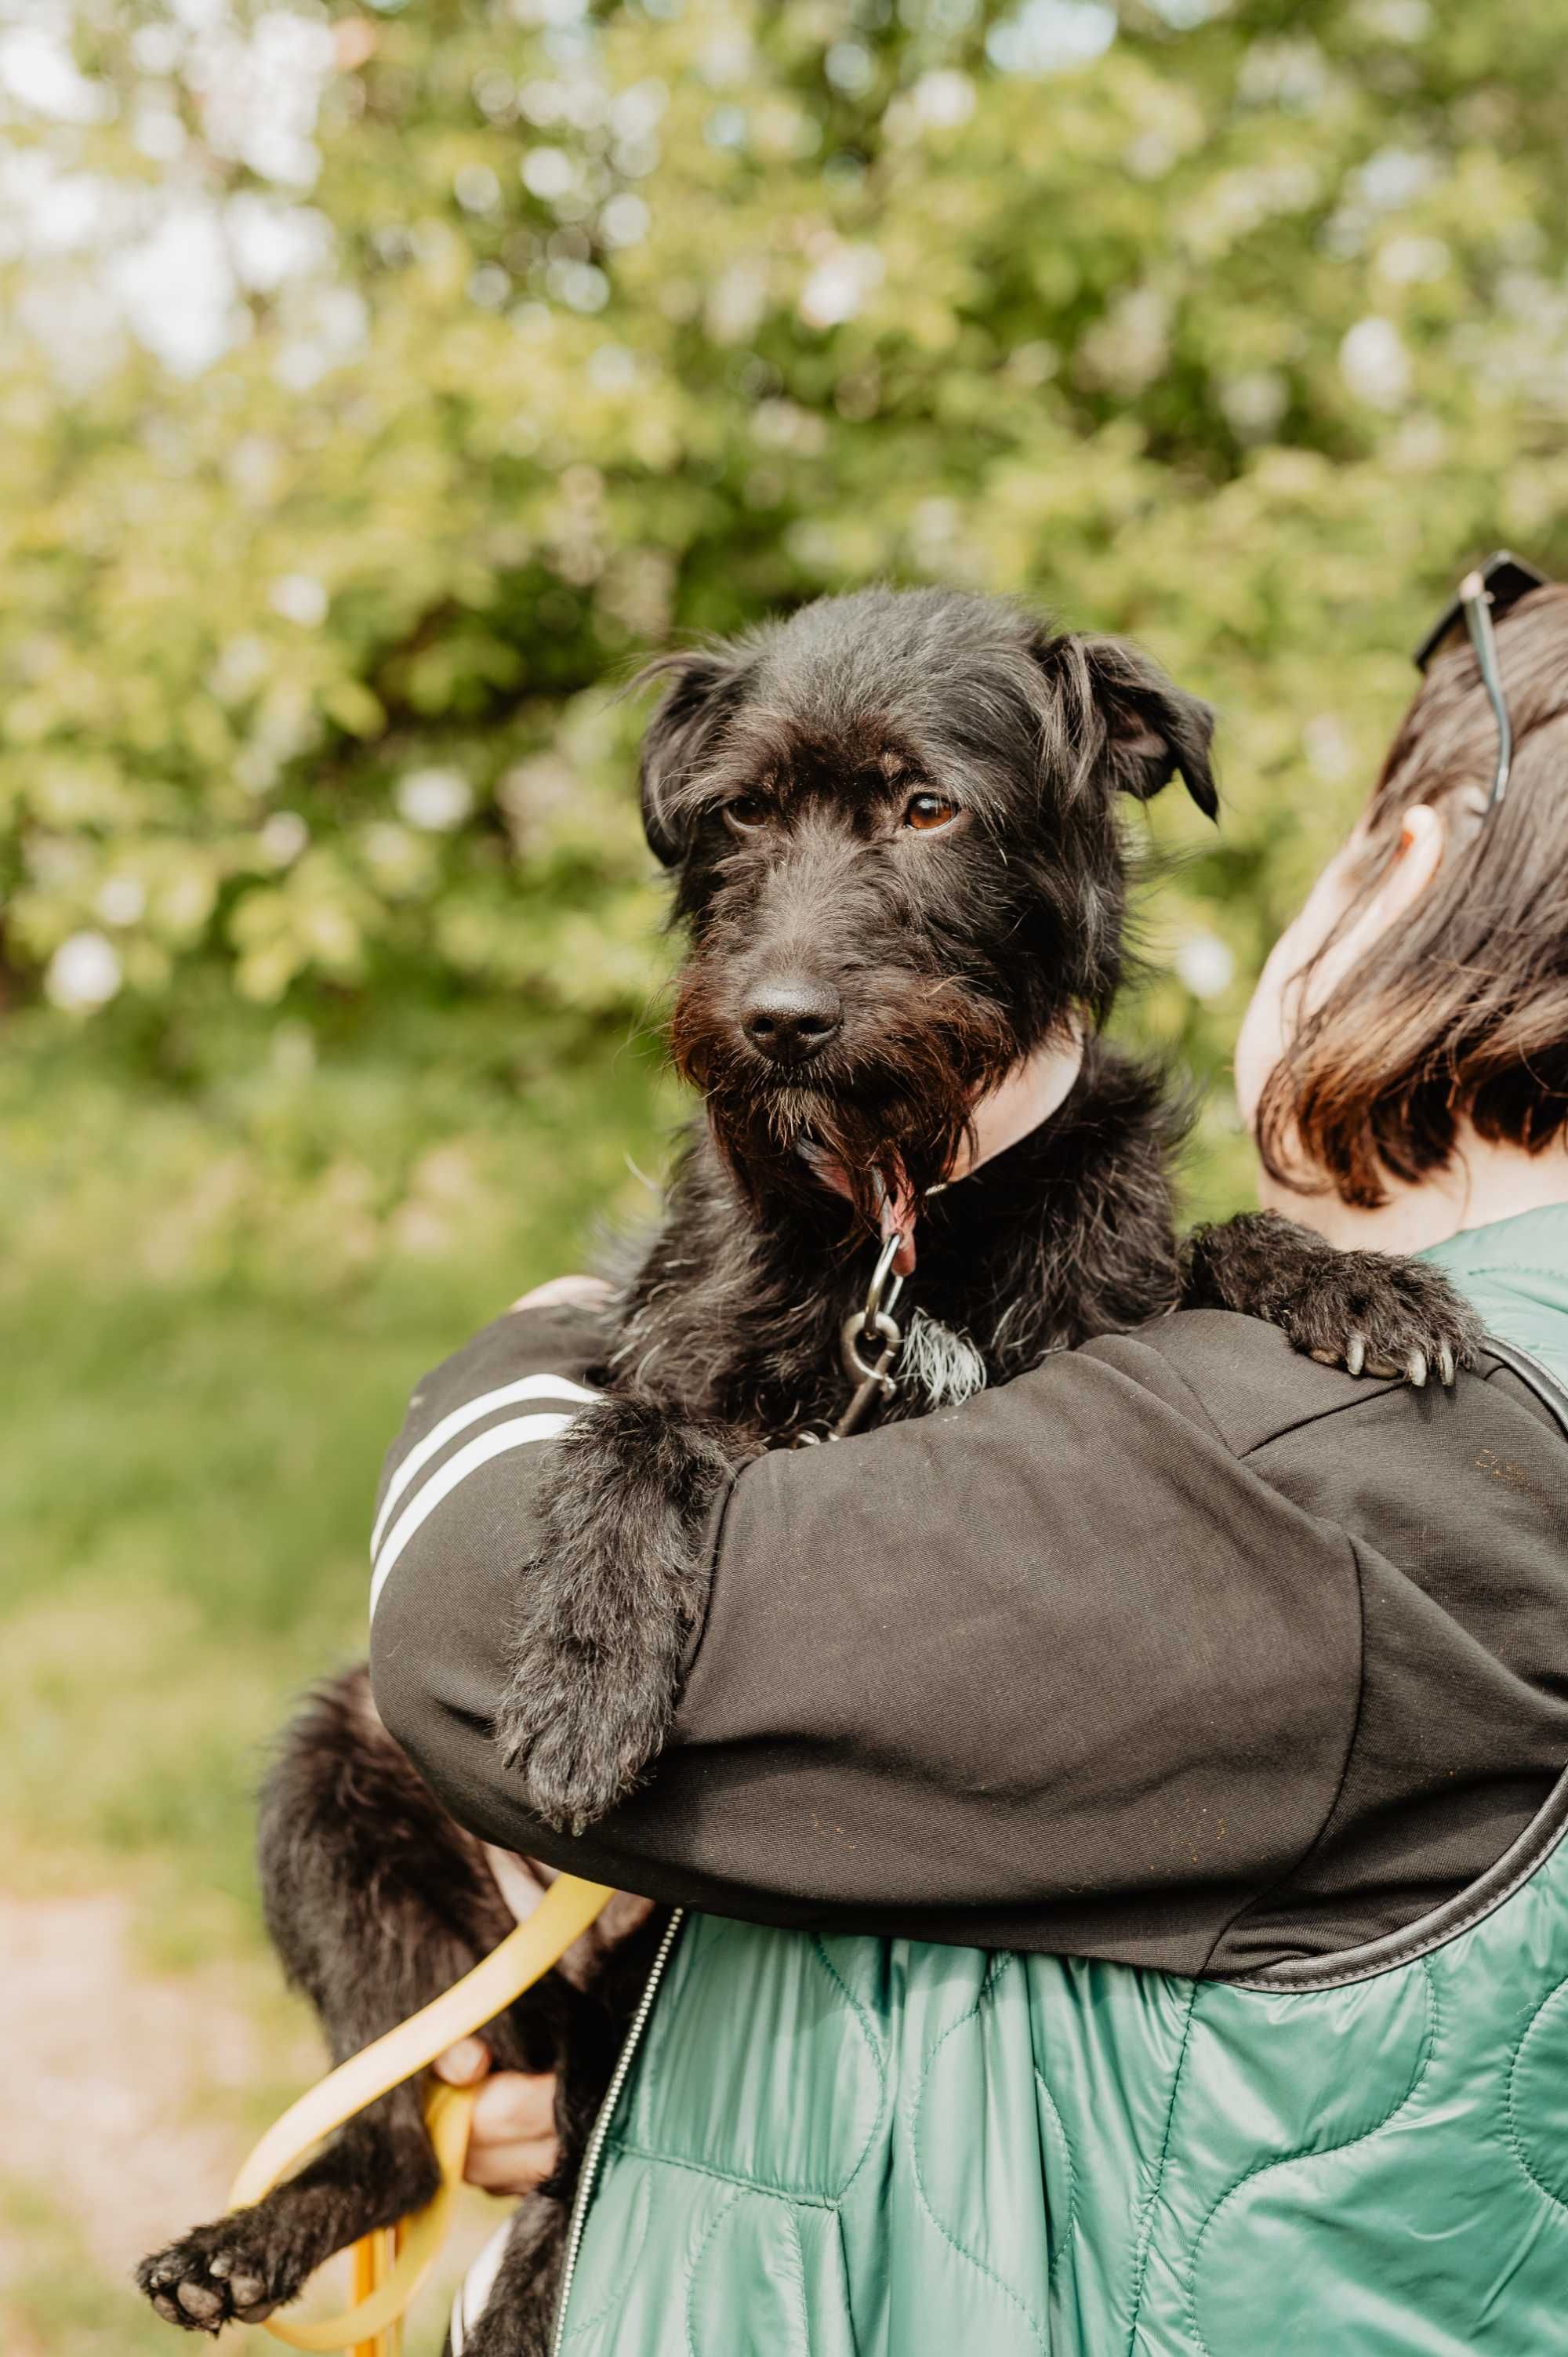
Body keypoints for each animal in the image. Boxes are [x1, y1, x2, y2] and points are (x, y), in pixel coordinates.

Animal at [137, 589, 1480, 2357]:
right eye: (740, 816)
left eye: (926, 807)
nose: (775, 1019)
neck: (907, 1201)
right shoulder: (680, 1357)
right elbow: (636, 1436)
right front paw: (586, 1681)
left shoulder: (1096, 1311)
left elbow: (1209, 1250)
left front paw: (1353, 1281)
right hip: (331, 1780)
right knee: (393, 2132)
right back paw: (251, 2238)